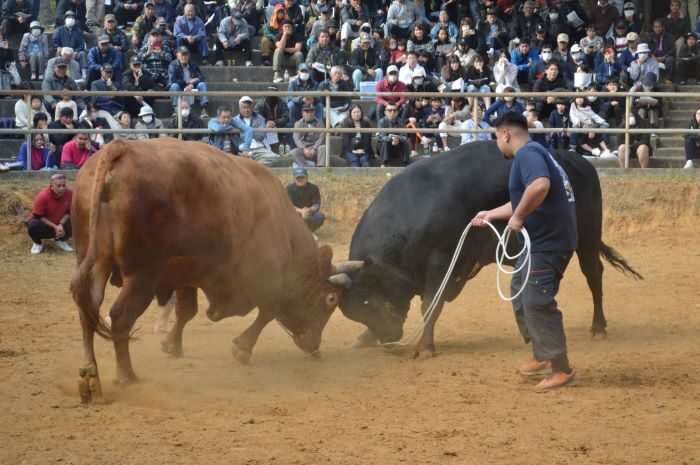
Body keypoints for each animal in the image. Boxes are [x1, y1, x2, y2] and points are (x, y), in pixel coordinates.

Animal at [71, 138, 350, 402]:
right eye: (331, 299)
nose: (315, 345)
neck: (281, 223)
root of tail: (122, 149)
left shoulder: (187, 273)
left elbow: (186, 311)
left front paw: (172, 344)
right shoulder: (264, 276)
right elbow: (268, 310)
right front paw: (243, 348)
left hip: (95, 263)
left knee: (88, 312)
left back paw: (89, 375)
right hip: (143, 275)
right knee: (121, 316)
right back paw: (126, 376)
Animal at [336, 140, 644, 358]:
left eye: (367, 301)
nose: (388, 339)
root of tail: (579, 163)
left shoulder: (442, 262)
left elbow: (429, 305)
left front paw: (425, 346)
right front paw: (365, 338)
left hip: (588, 238)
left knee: (593, 275)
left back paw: (598, 327)